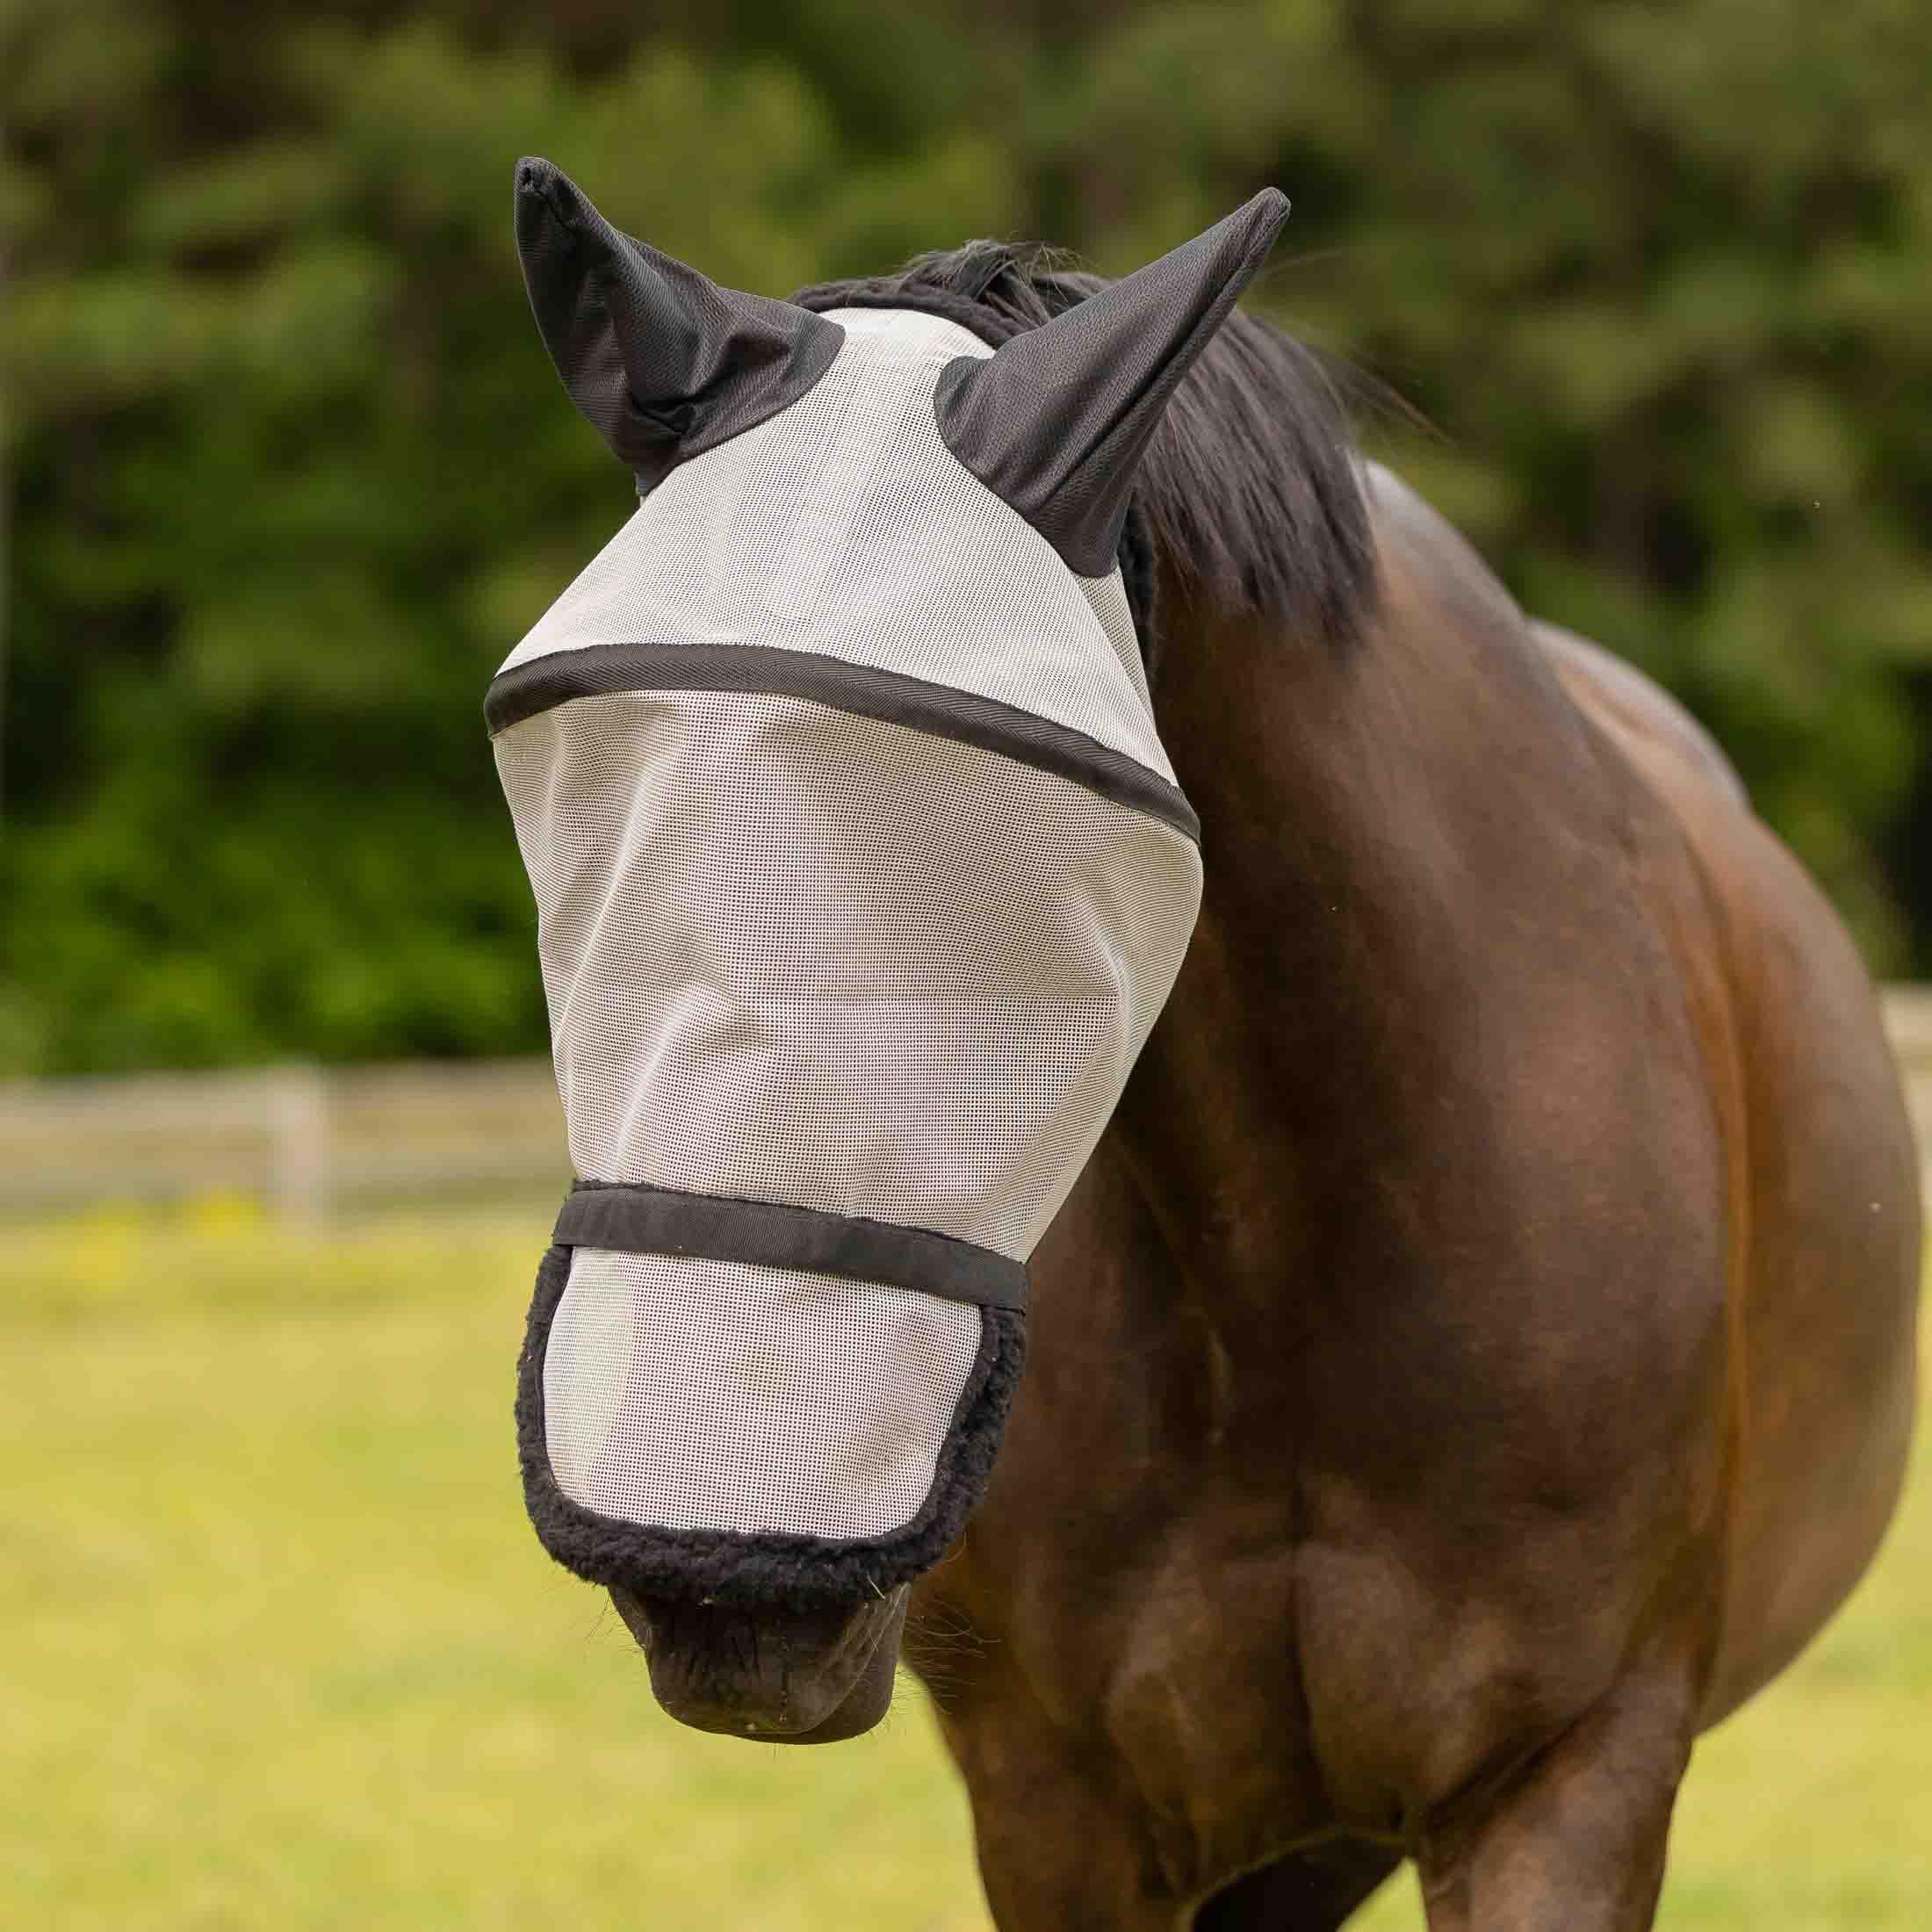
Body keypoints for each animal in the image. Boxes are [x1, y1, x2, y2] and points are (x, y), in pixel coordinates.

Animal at [499, 166, 1920, 1929]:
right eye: (566, 787)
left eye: (1030, 829)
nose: (721, 1568)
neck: (1306, 1254)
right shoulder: (1059, 1808)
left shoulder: (1569, 1777)